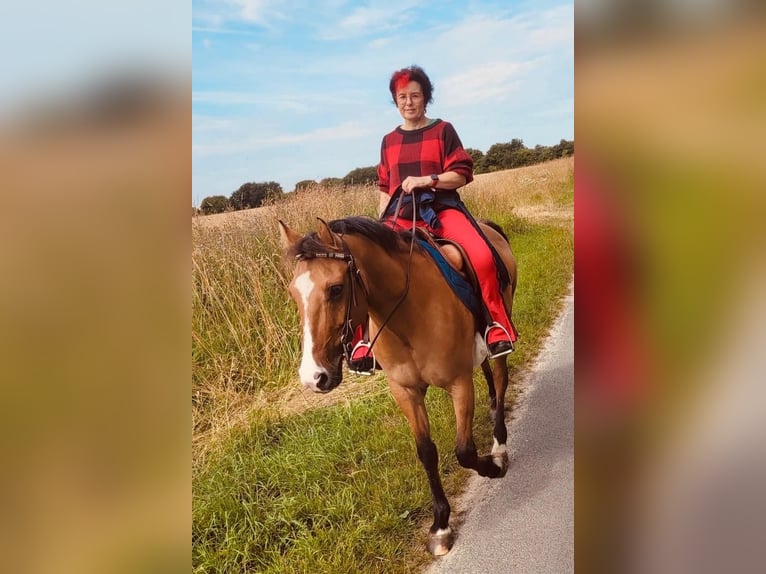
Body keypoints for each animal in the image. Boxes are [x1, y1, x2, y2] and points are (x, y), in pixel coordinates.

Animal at [278, 215, 517, 556]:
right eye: (293, 294)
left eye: (336, 289)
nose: (314, 377)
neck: (409, 315)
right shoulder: (404, 392)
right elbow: (426, 452)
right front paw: (440, 525)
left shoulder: (459, 383)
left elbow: (465, 451)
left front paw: (493, 467)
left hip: (501, 333)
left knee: (499, 375)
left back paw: (499, 444)